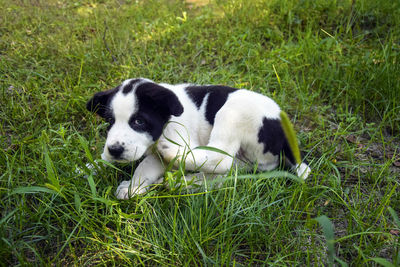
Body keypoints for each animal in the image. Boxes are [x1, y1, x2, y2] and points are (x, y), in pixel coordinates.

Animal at [86, 78, 310, 200]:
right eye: (110, 121)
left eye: (139, 121)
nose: (115, 150)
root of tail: (283, 128)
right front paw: (90, 167)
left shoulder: (174, 140)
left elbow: (146, 165)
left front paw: (133, 187)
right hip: (248, 162)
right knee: (229, 173)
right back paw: (185, 183)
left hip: (232, 111)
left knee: (221, 158)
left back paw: (176, 166)